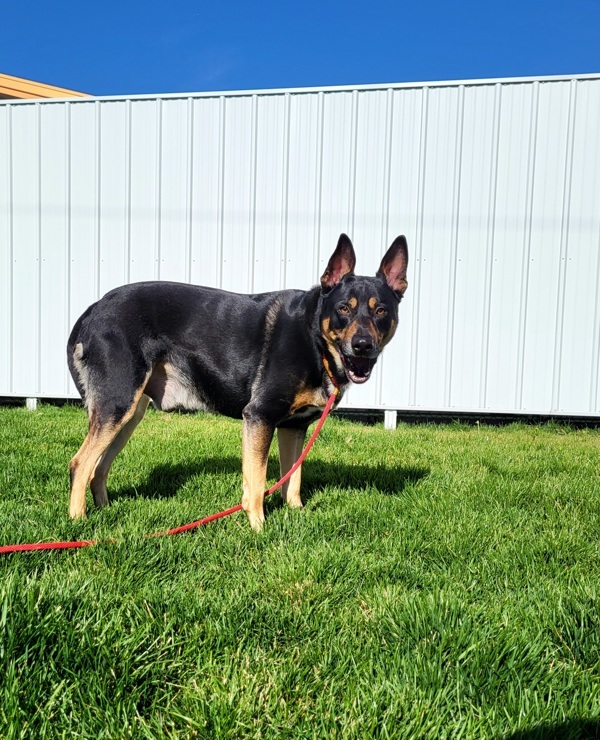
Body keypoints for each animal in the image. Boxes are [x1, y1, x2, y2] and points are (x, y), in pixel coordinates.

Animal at [68, 234, 410, 528]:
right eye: (343, 309)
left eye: (381, 311)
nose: (363, 345)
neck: (314, 339)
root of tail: (93, 310)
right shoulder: (259, 416)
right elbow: (257, 480)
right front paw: (259, 527)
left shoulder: (294, 427)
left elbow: (293, 479)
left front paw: (296, 514)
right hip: (117, 404)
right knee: (80, 464)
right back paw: (79, 522)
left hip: (128, 413)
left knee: (99, 467)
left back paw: (105, 513)